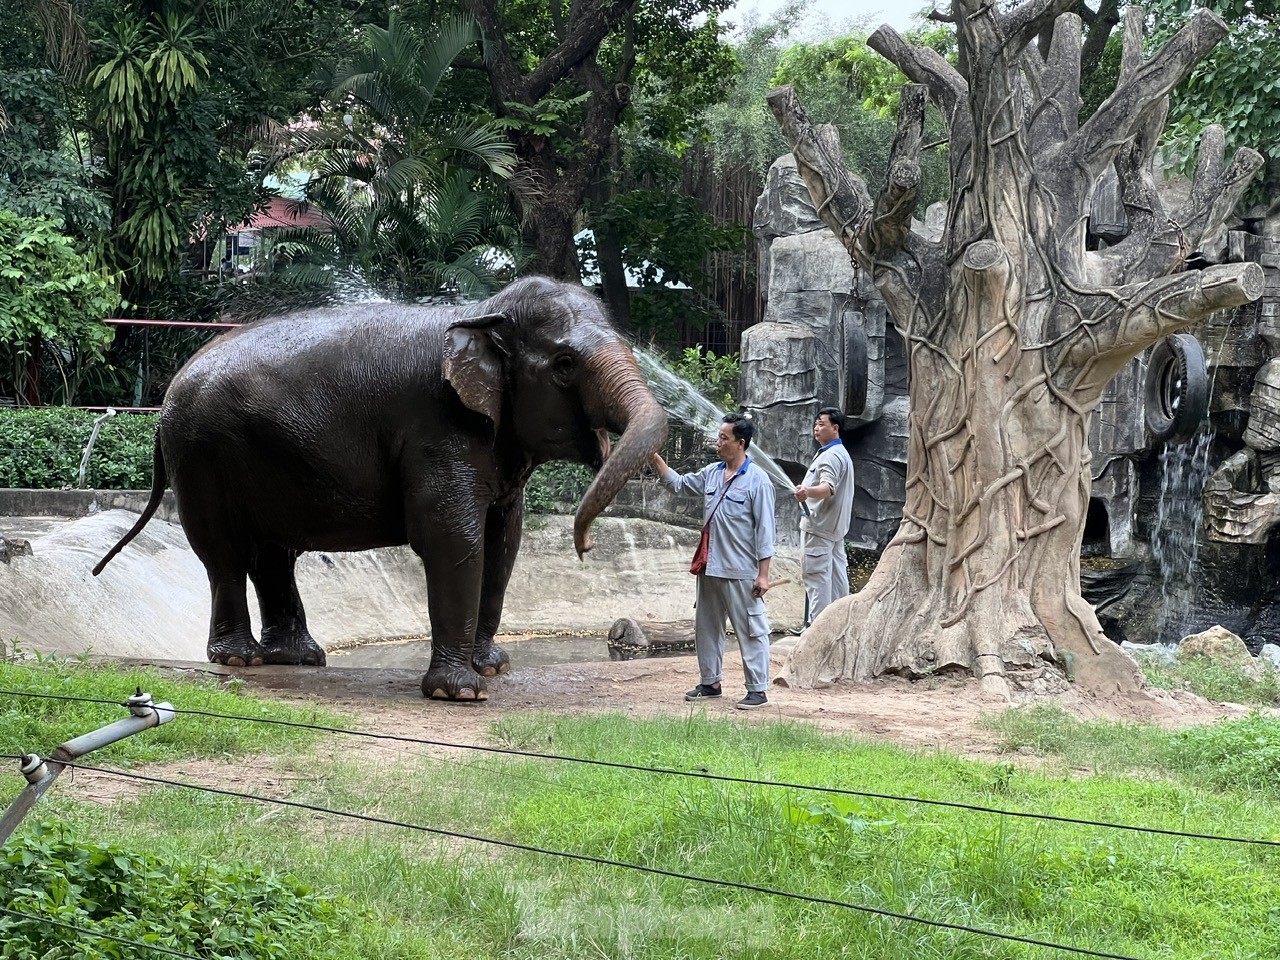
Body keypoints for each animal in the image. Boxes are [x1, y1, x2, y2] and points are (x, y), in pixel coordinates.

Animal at [91, 276, 670, 701]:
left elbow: (504, 542)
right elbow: (453, 540)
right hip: (201, 453)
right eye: (565, 365)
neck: (484, 312)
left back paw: (299, 658)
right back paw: (240, 658)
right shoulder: (438, 429)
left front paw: (494, 669)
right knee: (226, 553)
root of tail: (168, 394)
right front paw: (460, 694)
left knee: (273, 554)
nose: (586, 547)